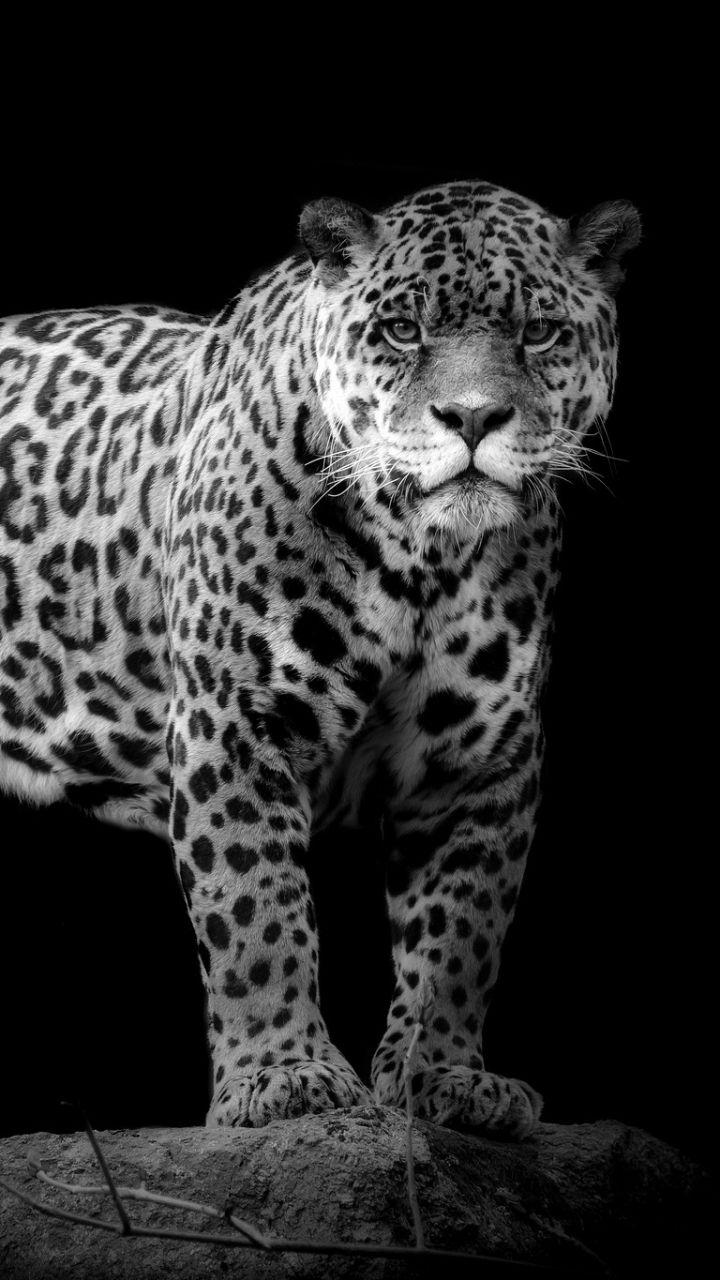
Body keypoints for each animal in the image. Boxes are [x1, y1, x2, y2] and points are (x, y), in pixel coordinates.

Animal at [0, 179, 640, 1139]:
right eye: (403, 330)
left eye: (539, 332)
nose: (474, 417)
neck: (421, 556)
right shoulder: (236, 722)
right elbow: (255, 910)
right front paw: (284, 1077)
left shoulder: (483, 758)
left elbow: (462, 935)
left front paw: (447, 1078)